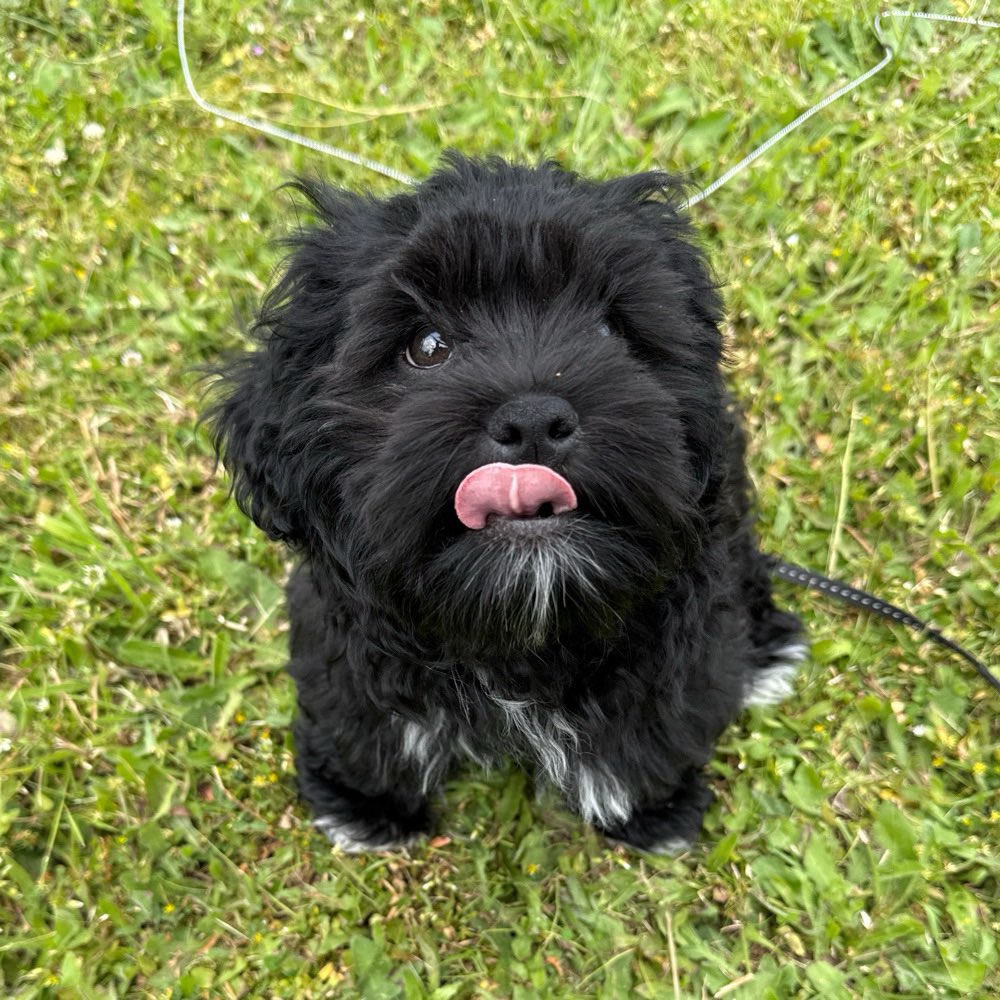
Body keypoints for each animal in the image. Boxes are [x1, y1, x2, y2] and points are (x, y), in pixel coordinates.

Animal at [209, 152, 804, 856]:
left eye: (609, 329)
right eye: (428, 346)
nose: (534, 419)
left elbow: (656, 720)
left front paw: (648, 810)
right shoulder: (346, 639)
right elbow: (364, 718)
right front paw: (362, 803)